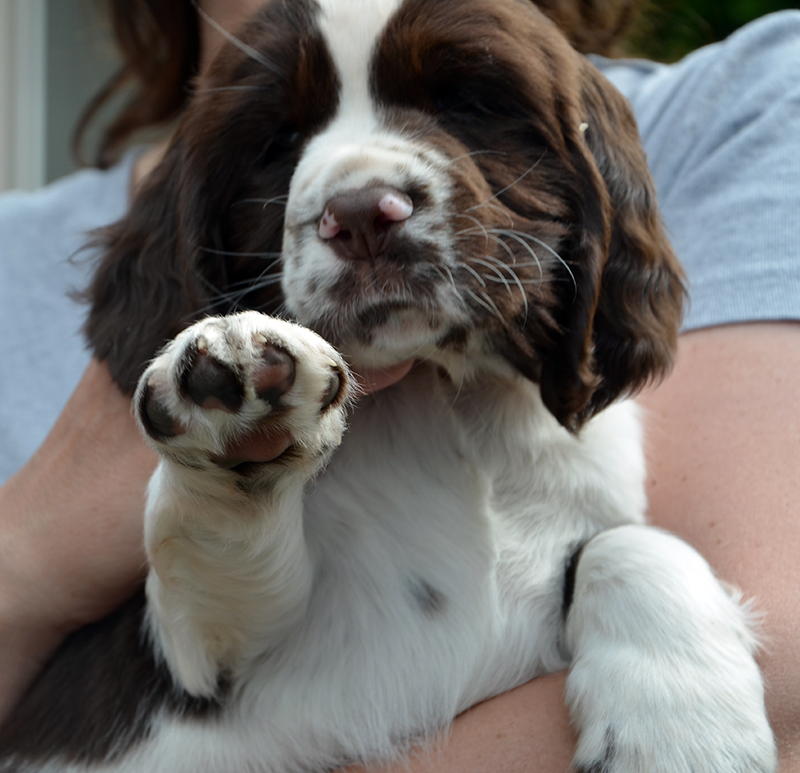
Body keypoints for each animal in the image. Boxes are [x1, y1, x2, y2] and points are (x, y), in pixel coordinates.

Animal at [0, 1, 776, 772]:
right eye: (280, 138)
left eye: (465, 102)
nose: (363, 214)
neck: (447, 398)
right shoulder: (188, 655)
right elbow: (207, 540)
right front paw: (231, 385)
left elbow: (631, 543)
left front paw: (685, 733)